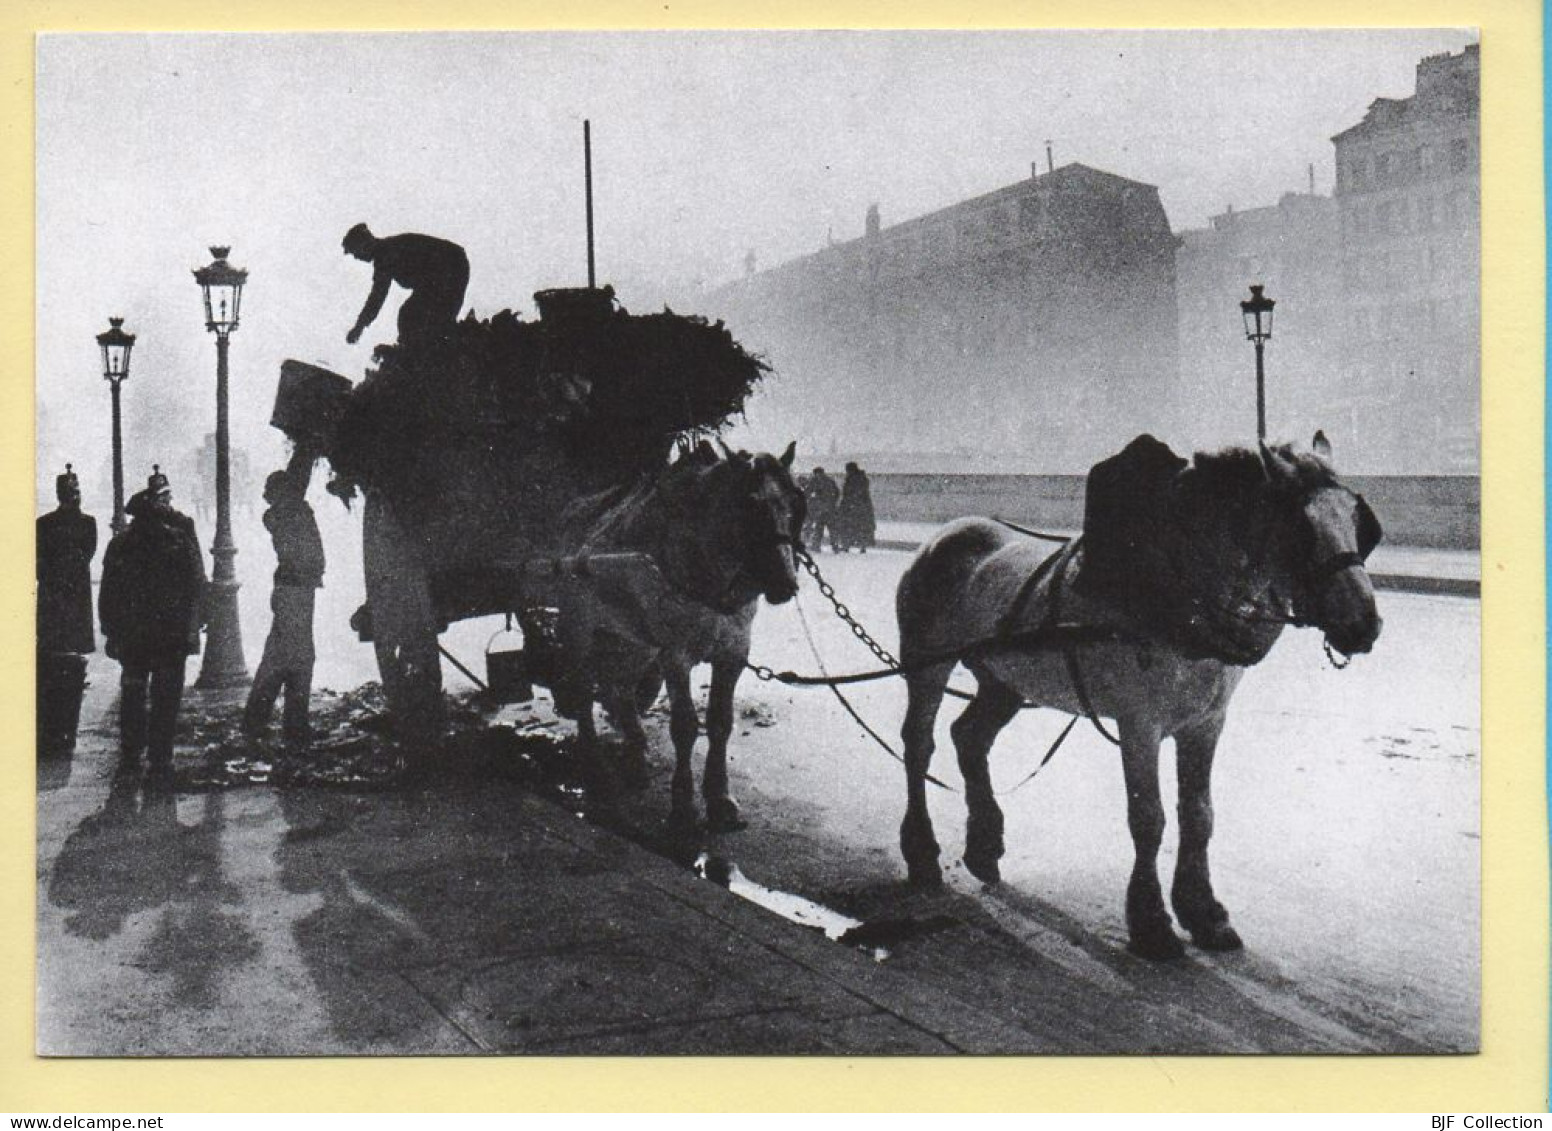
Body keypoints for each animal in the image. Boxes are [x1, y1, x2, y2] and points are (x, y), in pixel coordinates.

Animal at [558, 437, 807, 825]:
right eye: (750, 504)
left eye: (797, 503)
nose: (785, 584)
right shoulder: (675, 656)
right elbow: (685, 726)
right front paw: (684, 803)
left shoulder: (733, 654)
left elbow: (721, 722)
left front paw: (720, 797)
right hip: (579, 630)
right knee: (584, 690)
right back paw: (597, 768)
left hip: (632, 641)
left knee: (619, 690)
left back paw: (635, 757)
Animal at [893, 437, 1390, 955]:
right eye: (1300, 530)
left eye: (1356, 522)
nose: (1364, 624)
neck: (1181, 595)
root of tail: (942, 535)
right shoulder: (1139, 723)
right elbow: (1148, 817)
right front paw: (1151, 922)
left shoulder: (1206, 723)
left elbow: (1199, 814)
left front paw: (1204, 911)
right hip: (927, 664)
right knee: (919, 745)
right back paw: (922, 851)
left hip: (1002, 681)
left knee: (970, 736)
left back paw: (985, 846)